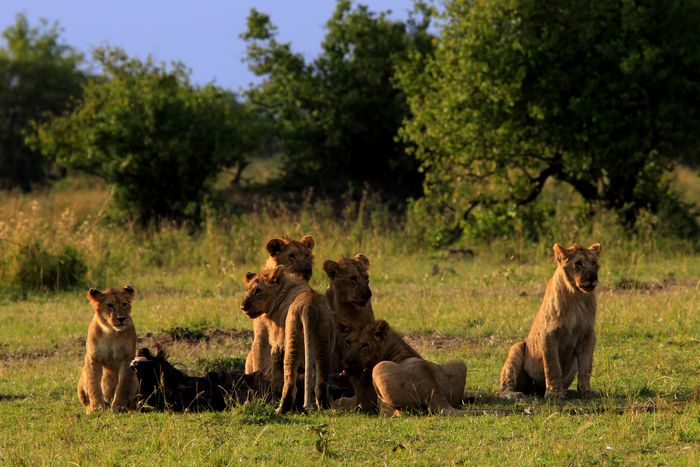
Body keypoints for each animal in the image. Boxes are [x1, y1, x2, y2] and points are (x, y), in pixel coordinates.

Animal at [77, 286, 139, 414]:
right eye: (110, 305)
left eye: (125, 304)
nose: (121, 318)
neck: (111, 332)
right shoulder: (93, 357)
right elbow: (93, 383)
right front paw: (97, 407)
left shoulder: (127, 357)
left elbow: (123, 385)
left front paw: (119, 406)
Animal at [241, 266, 336, 414]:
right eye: (248, 289)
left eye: (258, 290)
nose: (243, 306)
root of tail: (309, 306)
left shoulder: (277, 345)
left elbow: (276, 378)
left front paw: (273, 401)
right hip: (324, 344)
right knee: (321, 381)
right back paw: (323, 408)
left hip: (291, 340)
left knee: (290, 382)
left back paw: (280, 409)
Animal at [498, 243, 600, 400]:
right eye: (578, 263)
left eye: (594, 263)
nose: (592, 277)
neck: (576, 296)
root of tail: (534, 391)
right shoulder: (549, 333)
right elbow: (553, 366)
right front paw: (555, 393)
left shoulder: (588, 334)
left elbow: (586, 367)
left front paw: (586, 392)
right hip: (517, 347)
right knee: (505, 387)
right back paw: (514, 394)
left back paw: (568, 391)